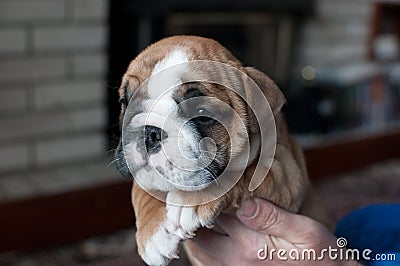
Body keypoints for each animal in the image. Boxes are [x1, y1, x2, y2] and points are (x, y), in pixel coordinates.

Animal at [115, 35, 332, 266]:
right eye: (125, 102)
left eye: (201, 112)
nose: (148, 132)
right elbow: (141, 189)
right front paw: (153, 233)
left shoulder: (285, 174)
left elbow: (236, 175)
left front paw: (189, 200)